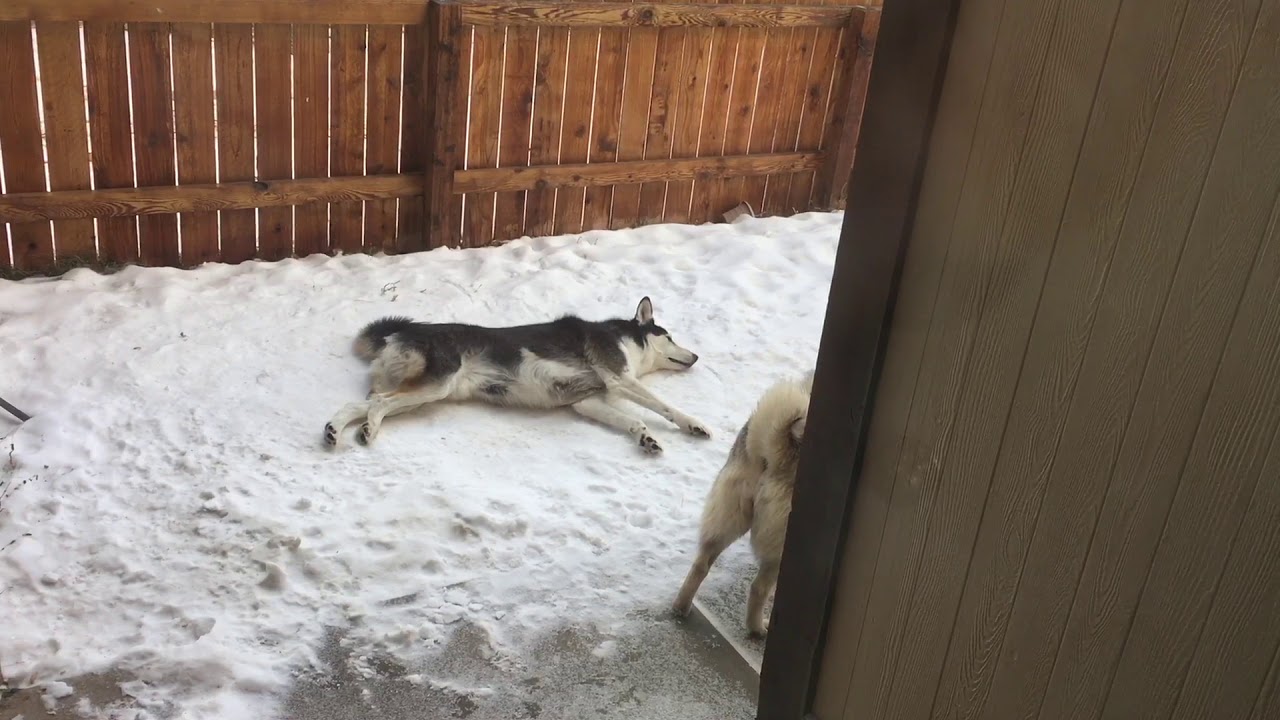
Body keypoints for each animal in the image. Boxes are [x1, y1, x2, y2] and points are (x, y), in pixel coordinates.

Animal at [325, 295, 716, 450]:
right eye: (669, 336)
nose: (697, 356)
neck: (624, 339)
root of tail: (401, 332)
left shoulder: (587, 402)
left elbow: (634, 422)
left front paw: (646, 438)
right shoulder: (620, 379)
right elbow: (664, 407)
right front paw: (694, 425)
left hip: (421, 395)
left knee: (360, 405)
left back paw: (337, 431)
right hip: (435, 386)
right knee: (378, 405)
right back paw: (368, 432)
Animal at [670, 368, 808, 632]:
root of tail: (779, 453)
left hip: (726, 519)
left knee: (701, 564)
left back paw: (681, 606)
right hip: (780, 550)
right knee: (758, 588)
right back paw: (758, 628)